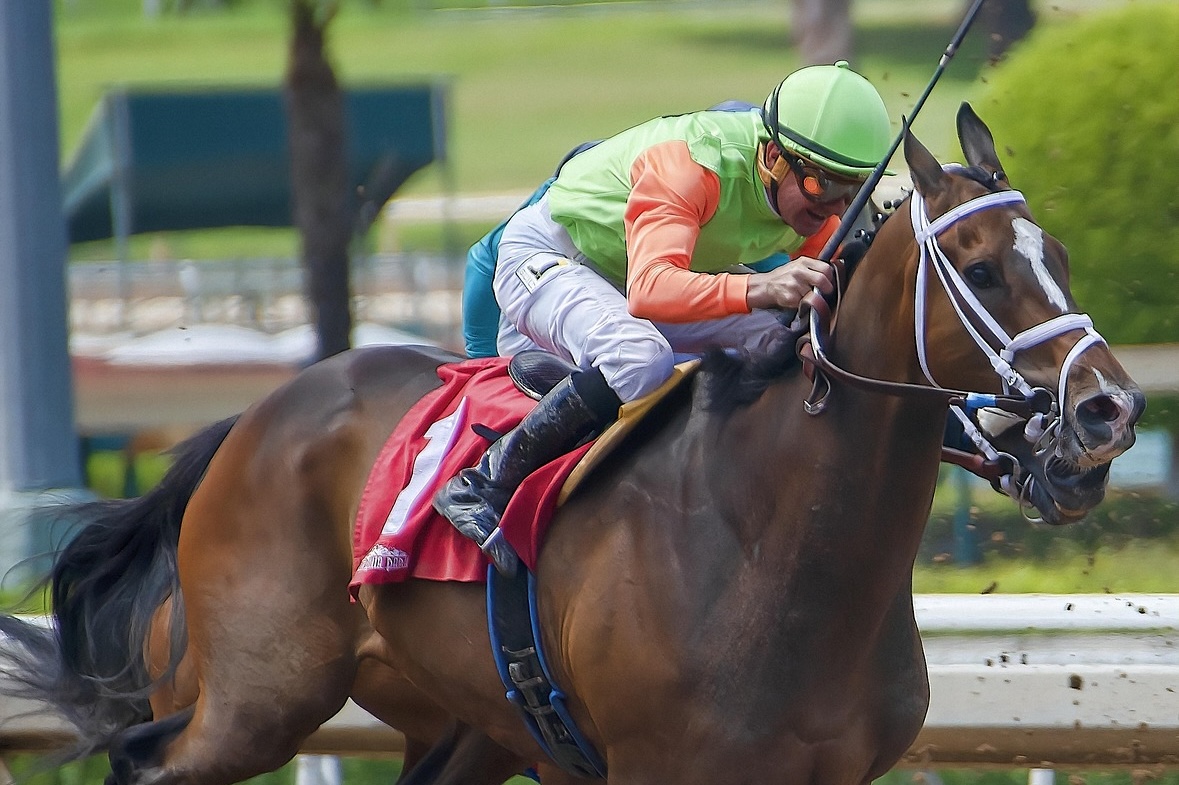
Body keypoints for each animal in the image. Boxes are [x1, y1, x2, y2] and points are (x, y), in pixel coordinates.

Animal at [0, 103, 1144, 785]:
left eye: (1061, 252)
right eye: (982, 267)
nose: (1109, 408)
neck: (772, 549)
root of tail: (253, 417)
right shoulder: (654, 768)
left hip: (457, 724)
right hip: (252, 696)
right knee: (147, 754)